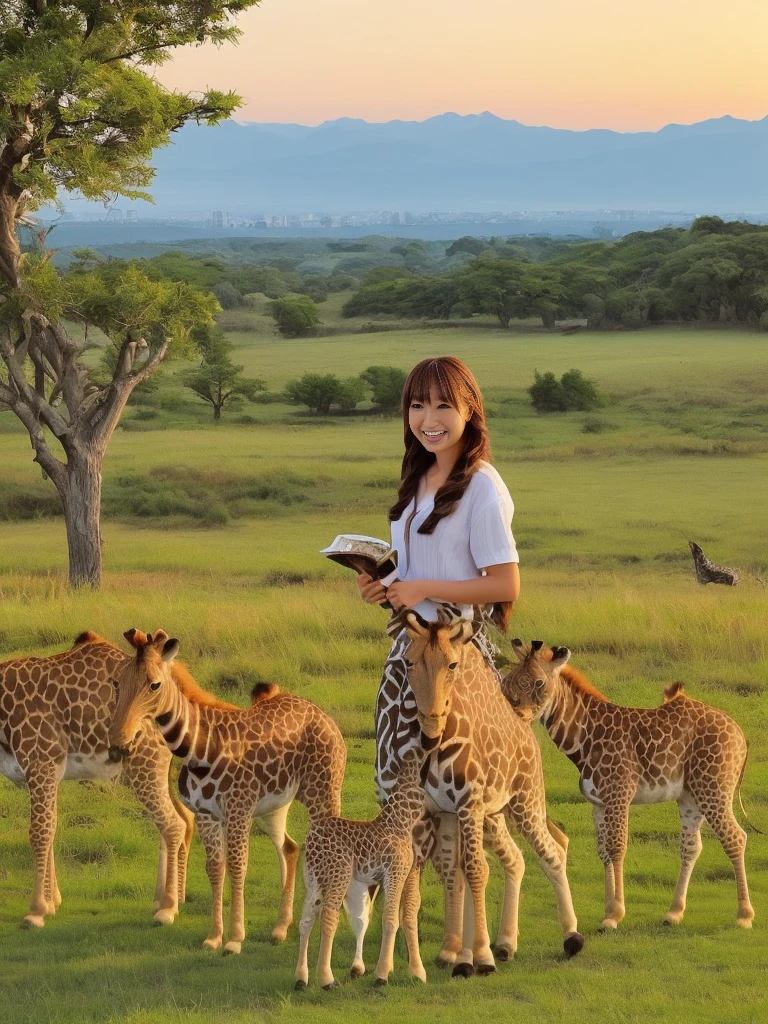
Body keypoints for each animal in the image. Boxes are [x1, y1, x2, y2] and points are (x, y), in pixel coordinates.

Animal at [0, 626, 192, 933]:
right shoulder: (48, 770)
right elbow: (51, 828)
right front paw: (52, 902)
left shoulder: (41, 761)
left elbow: (40, 832)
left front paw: (36, 911)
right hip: (160, 770)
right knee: (179, 821)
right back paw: (163, 900)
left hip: (146, 765)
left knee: (173, 824)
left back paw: (167, 909)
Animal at [107, 626, 348, 954]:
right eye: (117, 682)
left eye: (154, 684)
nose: (119, 741)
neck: (200, 748)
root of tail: (318, 711)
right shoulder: (207, 815)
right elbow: (215, 868)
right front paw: (213, 937)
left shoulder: (237, 811)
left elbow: (237, 867)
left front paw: (234, 939)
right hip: (275, 806)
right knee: (290, 848)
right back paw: (280, 928)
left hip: (322, 792)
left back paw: (326, 922)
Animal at [296, 745, 430, 991]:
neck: (401, 819)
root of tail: (312, 836)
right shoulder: (394, 871)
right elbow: (390, 918)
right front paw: (381, 975)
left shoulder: (399, 874)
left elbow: (401, 915)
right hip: (338, 873)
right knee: (329, 915)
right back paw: (327, 980)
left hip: (312, 877)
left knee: (306, 919)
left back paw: (301, 979)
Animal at [376, 606, 585, 974]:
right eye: (409, 662)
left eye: (452, 664)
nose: (431, 720)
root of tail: (526, 734)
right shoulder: (432, 812)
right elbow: (443, 874)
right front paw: (456, 954)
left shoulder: (468, 804)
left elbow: (475, 870)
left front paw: (478, 959)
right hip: (491, 814)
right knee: (512, 859)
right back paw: (502, 943)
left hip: (525, 802)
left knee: (551, 851)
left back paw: (571, 937)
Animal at [499, 643, 757, 933]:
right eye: (508, 681)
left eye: (539, 682)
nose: (516, 714)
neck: (585, 738)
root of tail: (740, 734)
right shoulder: (598, 803)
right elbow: (603, 851)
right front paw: (607, 911)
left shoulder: (619, 795)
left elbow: (617, 848)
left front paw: (615, 914)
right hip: (690, 797)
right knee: (691, 846)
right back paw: (674, 912)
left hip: (713, 788)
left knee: (735, 837)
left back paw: (744, 914)